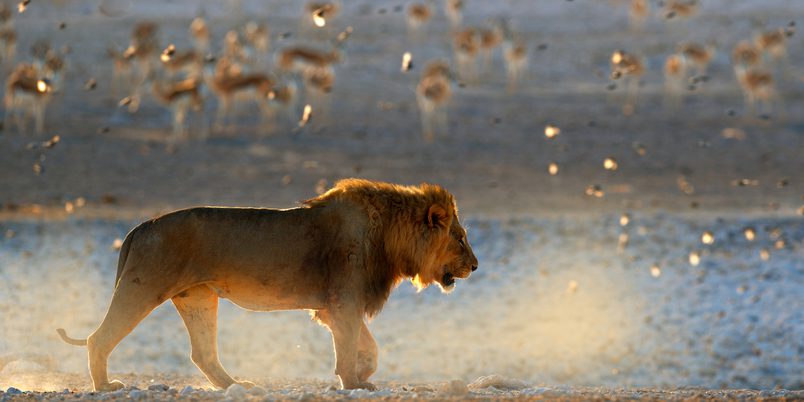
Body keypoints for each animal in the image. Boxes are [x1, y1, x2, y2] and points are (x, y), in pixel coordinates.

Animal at [57, 178, 478, 391]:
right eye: (460, 238)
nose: (475, 266)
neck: (391, 235)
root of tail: (141, 224)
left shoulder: (334, 306)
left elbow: (369, 348)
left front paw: (362, 374)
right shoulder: (344, 301)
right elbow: (350, 345)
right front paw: (353, 382)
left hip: (198, 298)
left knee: (203, 354)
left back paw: (235, 386)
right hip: (143, 287)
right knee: (99, 338)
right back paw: (105, 386)